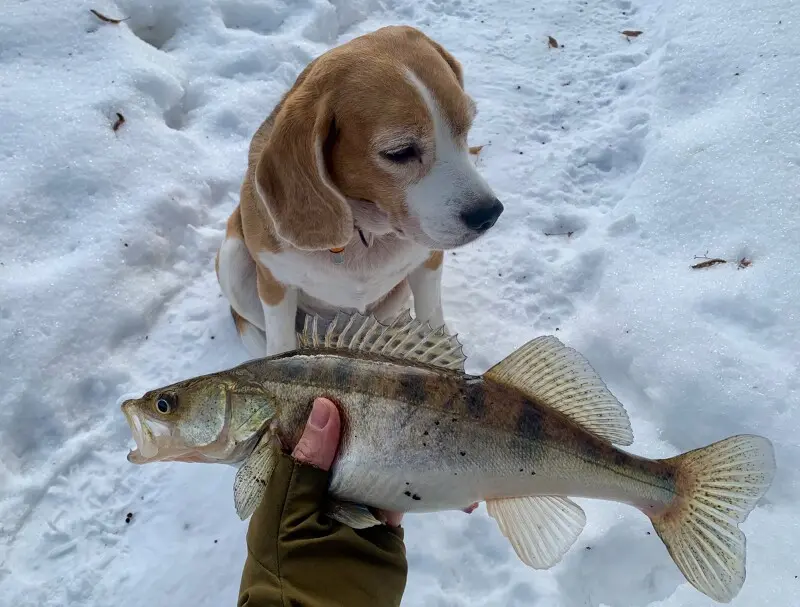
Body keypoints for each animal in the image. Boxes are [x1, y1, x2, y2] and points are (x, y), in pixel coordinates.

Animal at [216, 26, 504, 358]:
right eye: (399, 152)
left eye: (465, 127)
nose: (489, 214)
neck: (363, 236)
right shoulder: (276, 286)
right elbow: (281, 345)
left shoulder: (428, 263)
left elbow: (432, 322)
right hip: (233, 259)